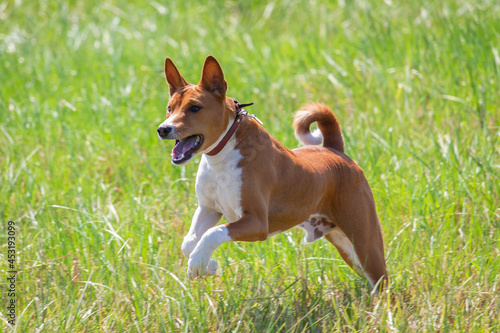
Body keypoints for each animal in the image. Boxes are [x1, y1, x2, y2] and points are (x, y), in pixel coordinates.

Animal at [158, 55, 388, 290]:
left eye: (195, 108)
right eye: (169, 108)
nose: (163, 129)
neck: (220, 158)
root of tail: (335, 151)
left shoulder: (257, 222)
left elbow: (213, 233)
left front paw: (199, 263)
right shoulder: (209, 209)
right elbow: (189, 242)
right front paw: (207, 264)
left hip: (364, 241)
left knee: (383, 281)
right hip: (344, 243)